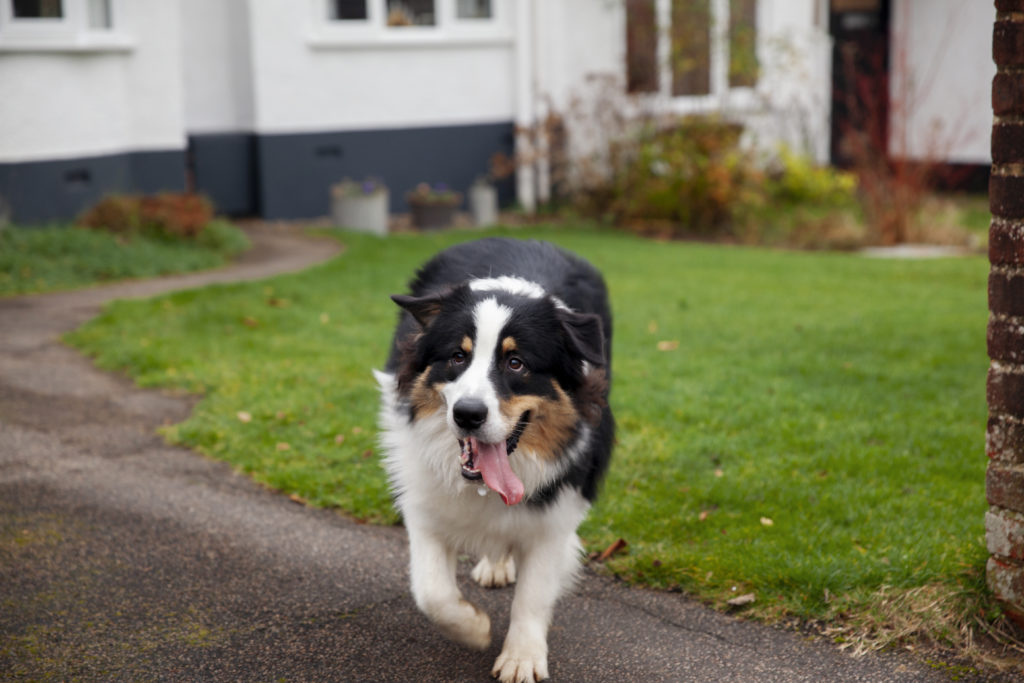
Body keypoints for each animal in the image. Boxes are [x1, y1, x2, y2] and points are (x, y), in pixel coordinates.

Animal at [376, 237, 610, 679]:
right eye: (457, 357)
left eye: (515, 363)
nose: (467, 415)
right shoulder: (423, 497)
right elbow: (431, 591)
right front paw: (472, 628)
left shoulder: (558, 511)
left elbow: (533, 594)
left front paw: (522, 657)